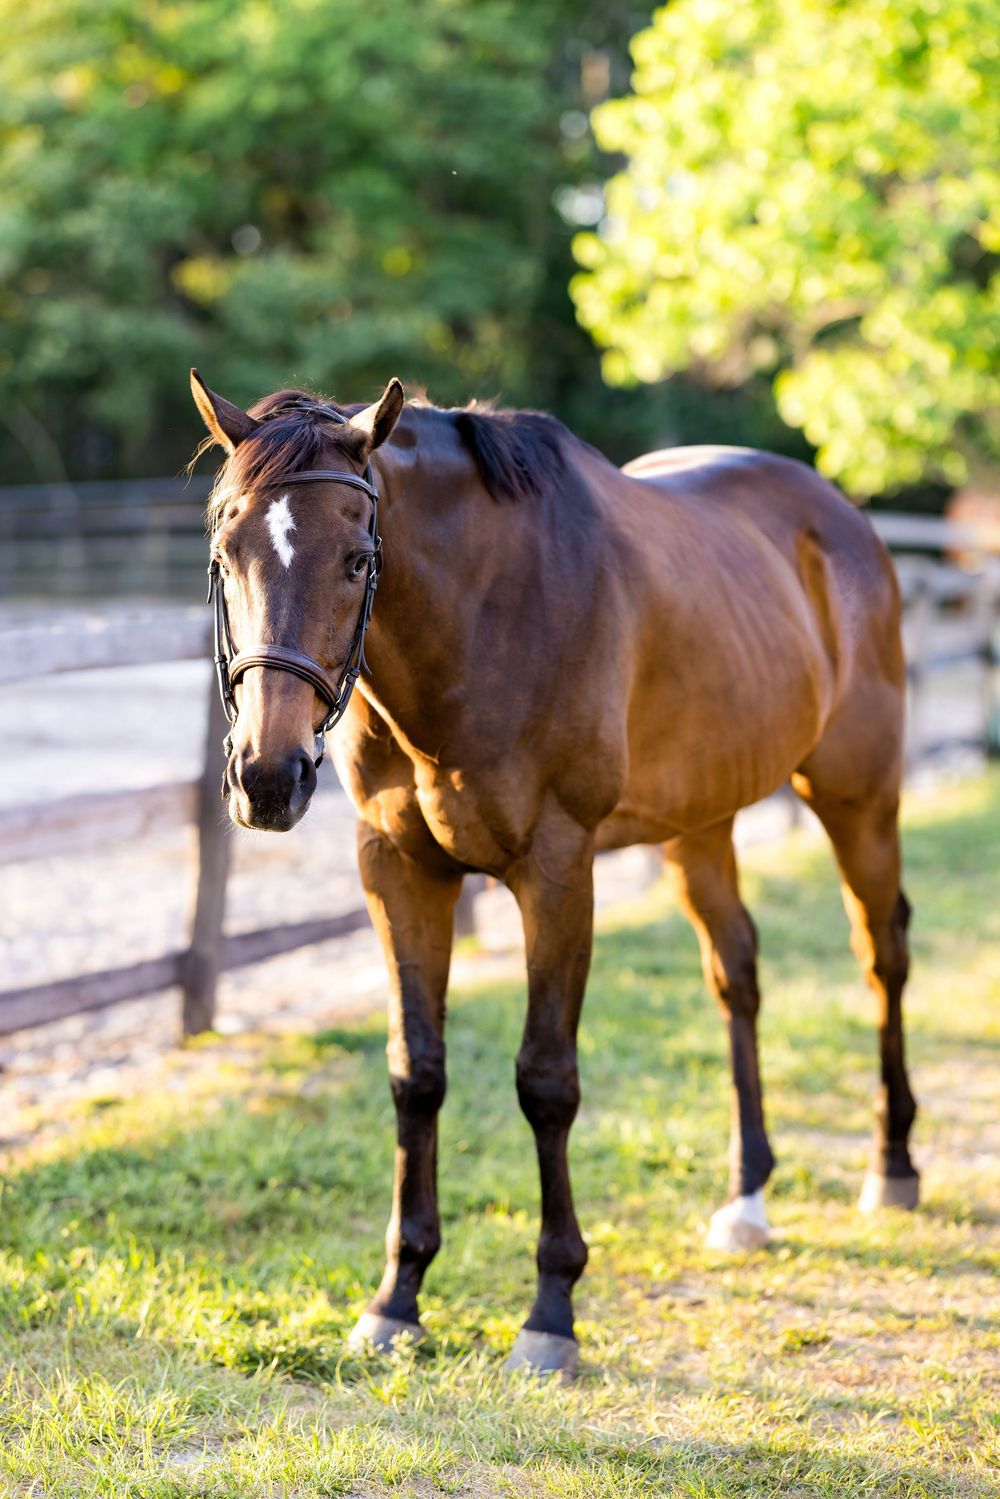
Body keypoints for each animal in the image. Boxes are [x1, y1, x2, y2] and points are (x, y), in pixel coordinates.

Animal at [190, 370, 919, 1377]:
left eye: (356, 558)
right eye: (226, 555)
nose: (267, 774)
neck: (485, 622)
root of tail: (843, 521)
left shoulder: (558, 870)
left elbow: (545, 1080)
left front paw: (551, 1312)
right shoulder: (398, 867)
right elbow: (415, 1071)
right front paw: (397, 1298)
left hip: (860, 798)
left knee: (881, 955)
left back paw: (893, 1167)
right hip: (701, 826)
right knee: (737, 973)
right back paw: (746, 1199)